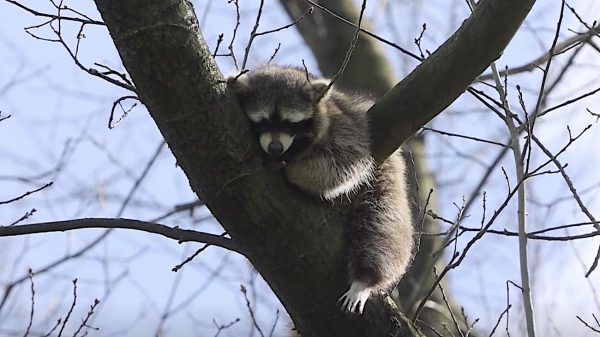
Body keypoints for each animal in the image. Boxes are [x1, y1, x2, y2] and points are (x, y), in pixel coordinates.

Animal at [225, 64, 412, 314]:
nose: (275, 148)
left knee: (383, 226)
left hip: (386, 179)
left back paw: (365, 278)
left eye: (290, 123)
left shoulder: (344, 124)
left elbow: (345, 162)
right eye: (262, 121)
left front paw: (293, 170)